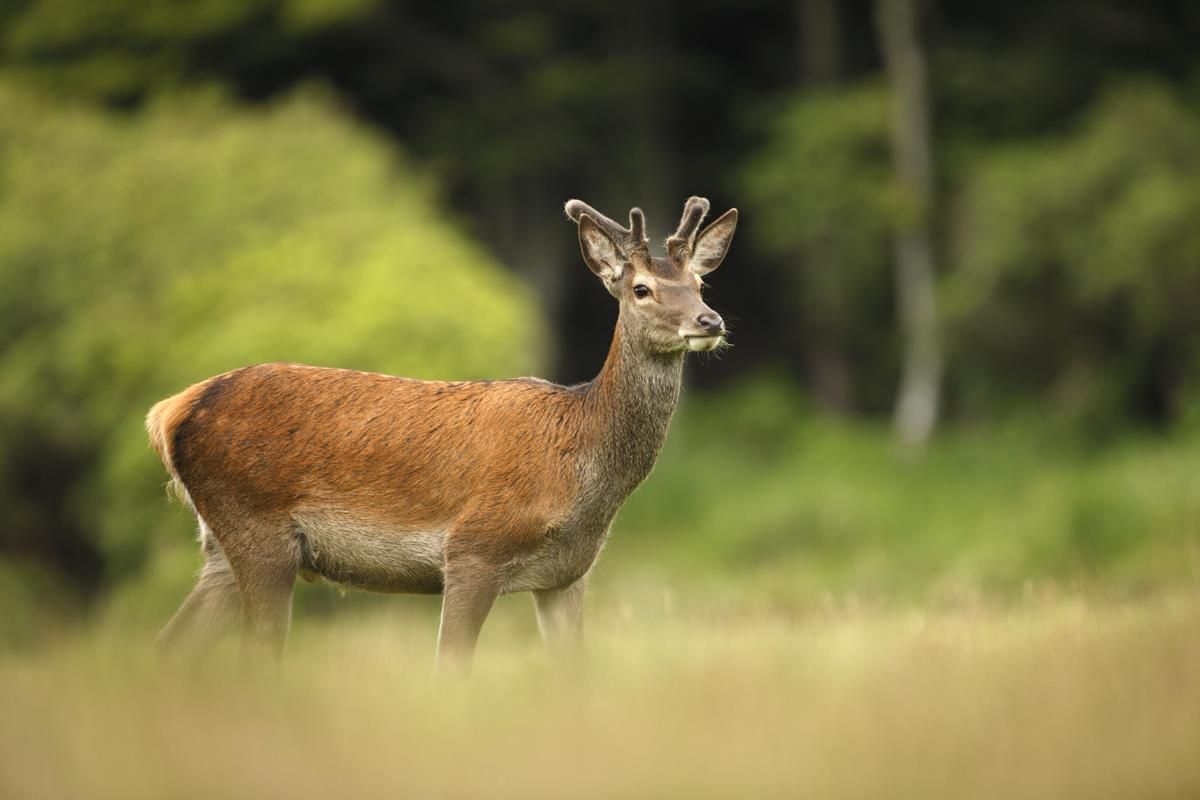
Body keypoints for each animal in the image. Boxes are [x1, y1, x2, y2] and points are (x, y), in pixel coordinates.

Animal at [146, 196, 737, 668]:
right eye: (641, 289)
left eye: (700, 283)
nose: (710, 320)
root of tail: (170, 412)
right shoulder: (473, 548)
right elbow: (451, 666)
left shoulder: (567, 576)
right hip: (257, 528)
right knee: (256, 654)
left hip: (221, 547)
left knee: (169, 645)